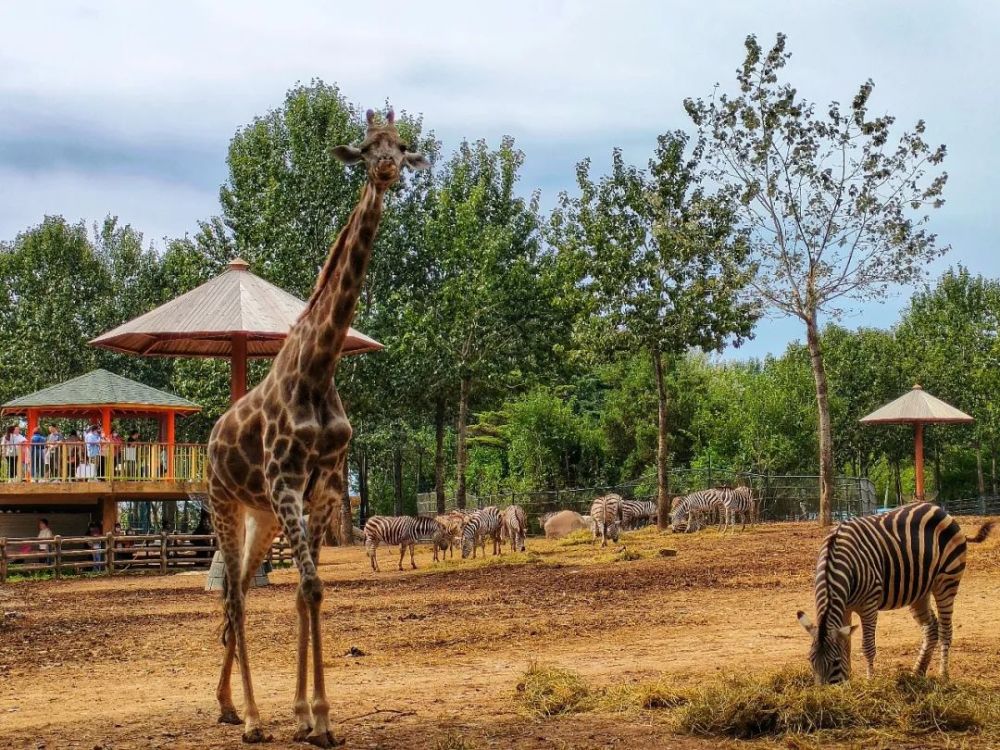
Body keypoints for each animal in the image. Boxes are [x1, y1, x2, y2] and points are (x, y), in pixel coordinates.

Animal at [207, 108, 430, 748]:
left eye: (402, 147)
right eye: (366, 148)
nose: (387, 171)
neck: (321, 364)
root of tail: (209, 440)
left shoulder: (322, 487)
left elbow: (310, 595)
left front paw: (308, 714)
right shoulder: (286, 480)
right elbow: (307, 588)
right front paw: (317, 717)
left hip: (259, 516)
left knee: (241, 593)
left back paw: (228, 705)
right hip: (225, 503)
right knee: (233, 595)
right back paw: (251, 719)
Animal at [796, 506, 992, 688]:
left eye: (834, 662)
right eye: (810, 660)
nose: (825, 692)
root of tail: (940, 510)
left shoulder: (869, 605)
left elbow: (867, 646)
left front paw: (869, 681)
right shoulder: (844, 607)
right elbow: (847, 645)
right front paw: (849, 679)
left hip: (947, 581)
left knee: (945, 630)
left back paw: (943, 676)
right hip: (920, 591)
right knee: (931, 628)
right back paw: (917, 672)